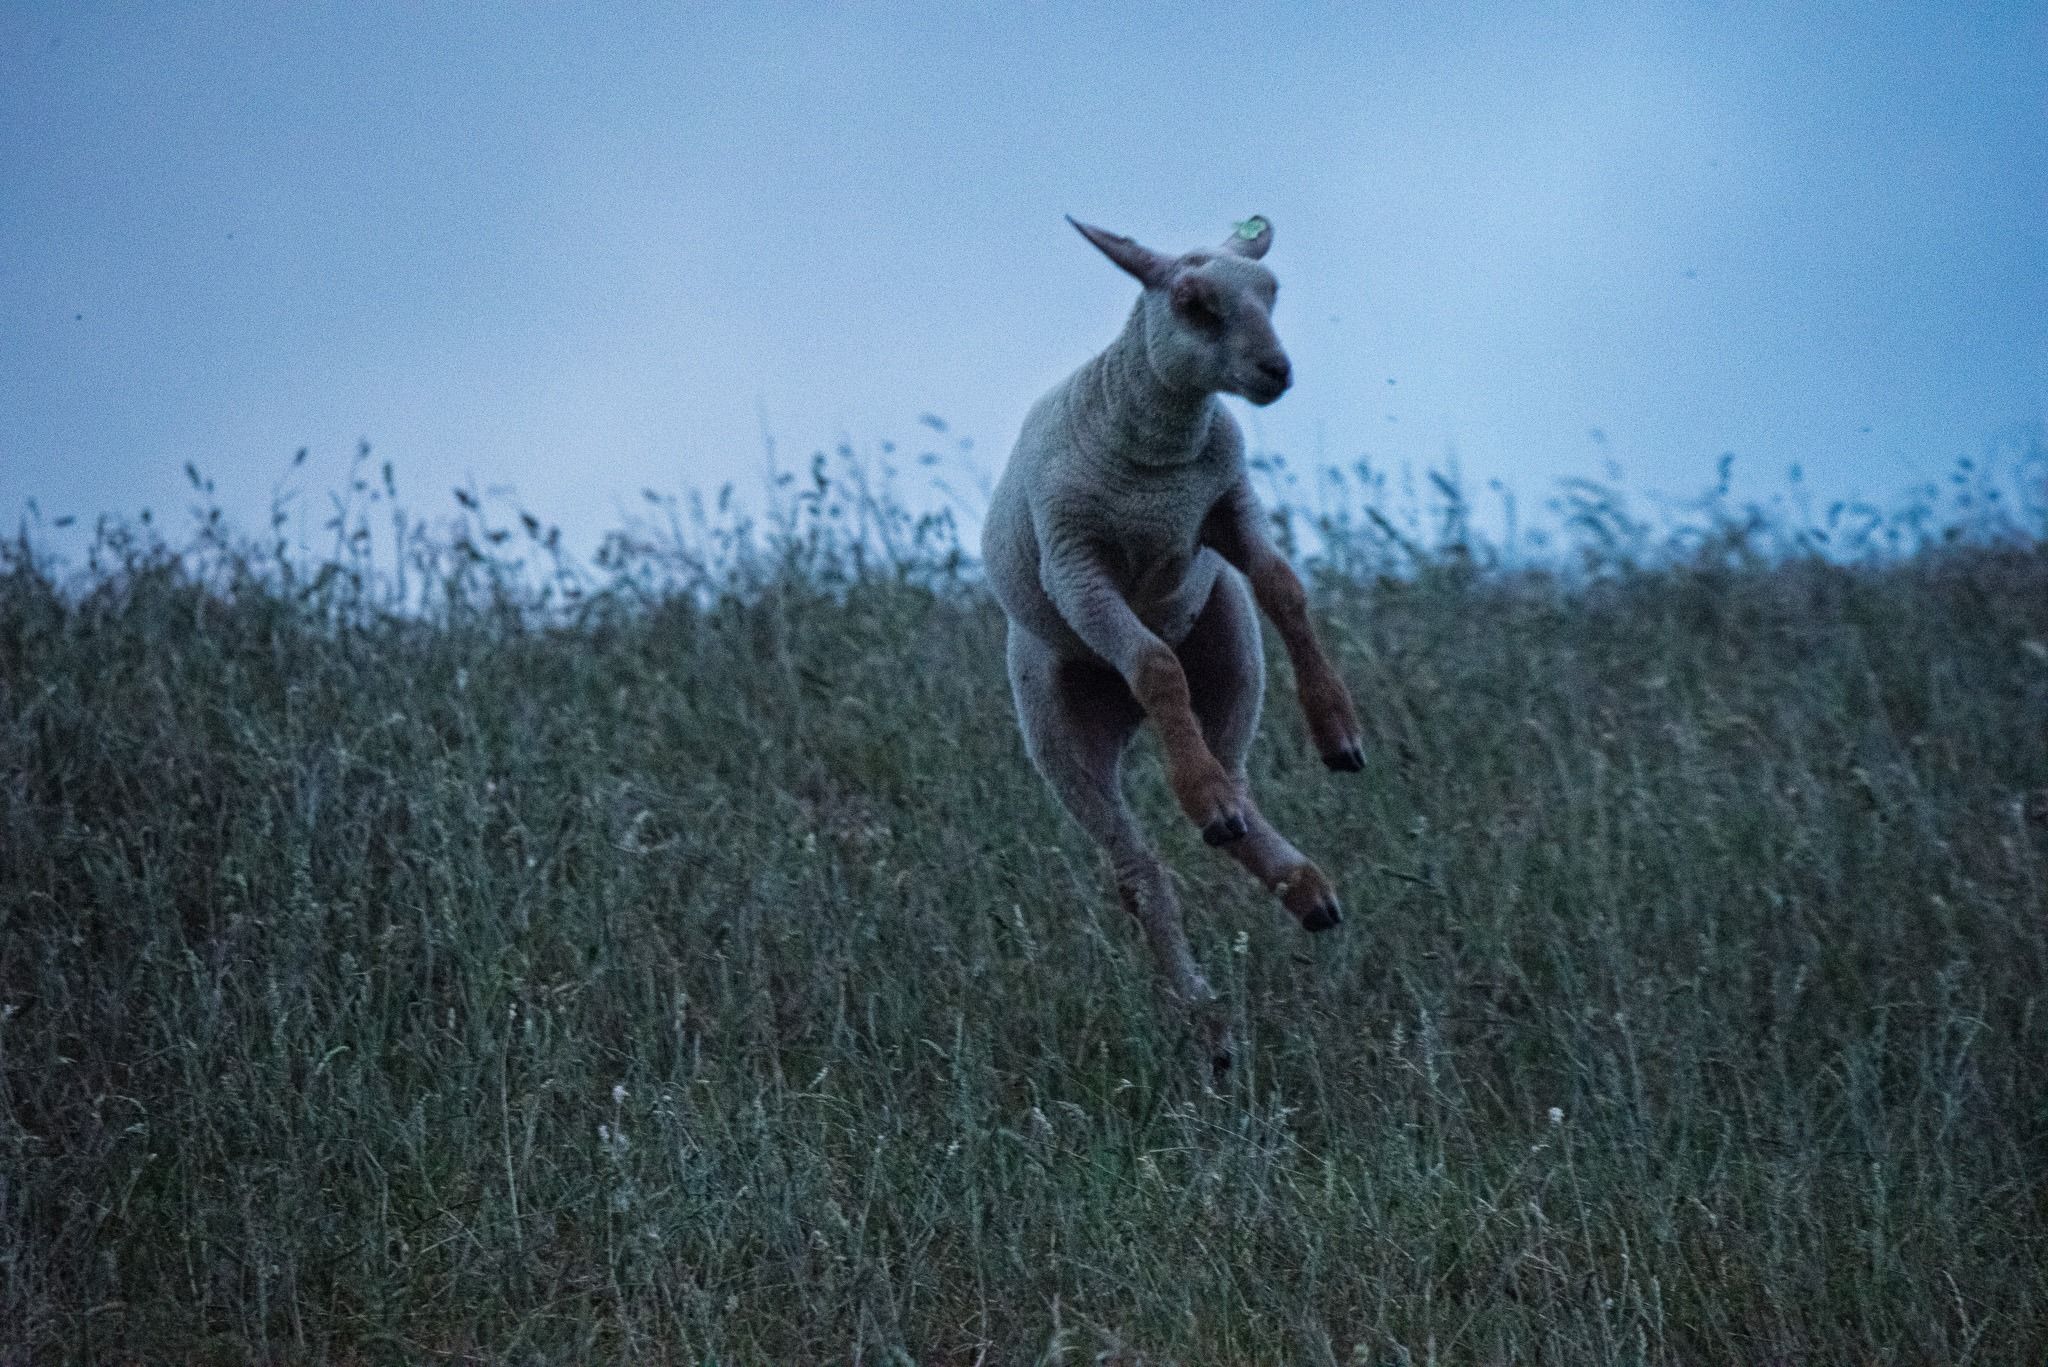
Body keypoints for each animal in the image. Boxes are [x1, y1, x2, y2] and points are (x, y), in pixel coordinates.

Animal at [981, 214, 1367, 1074]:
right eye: (1192, 303)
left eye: (1271, 291)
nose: (1276, 370)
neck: (1157, 463)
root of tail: (1118, 715)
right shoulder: (1076, 566)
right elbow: (1156, 665)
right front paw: (1200, 793)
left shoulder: (1226, 505)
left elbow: (1285, 587)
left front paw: (1339, 731)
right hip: (1057, 727)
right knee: (1137, 871)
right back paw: (1206, 1014)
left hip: (1229, 648)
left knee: (1238, 779)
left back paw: (1302, 886)